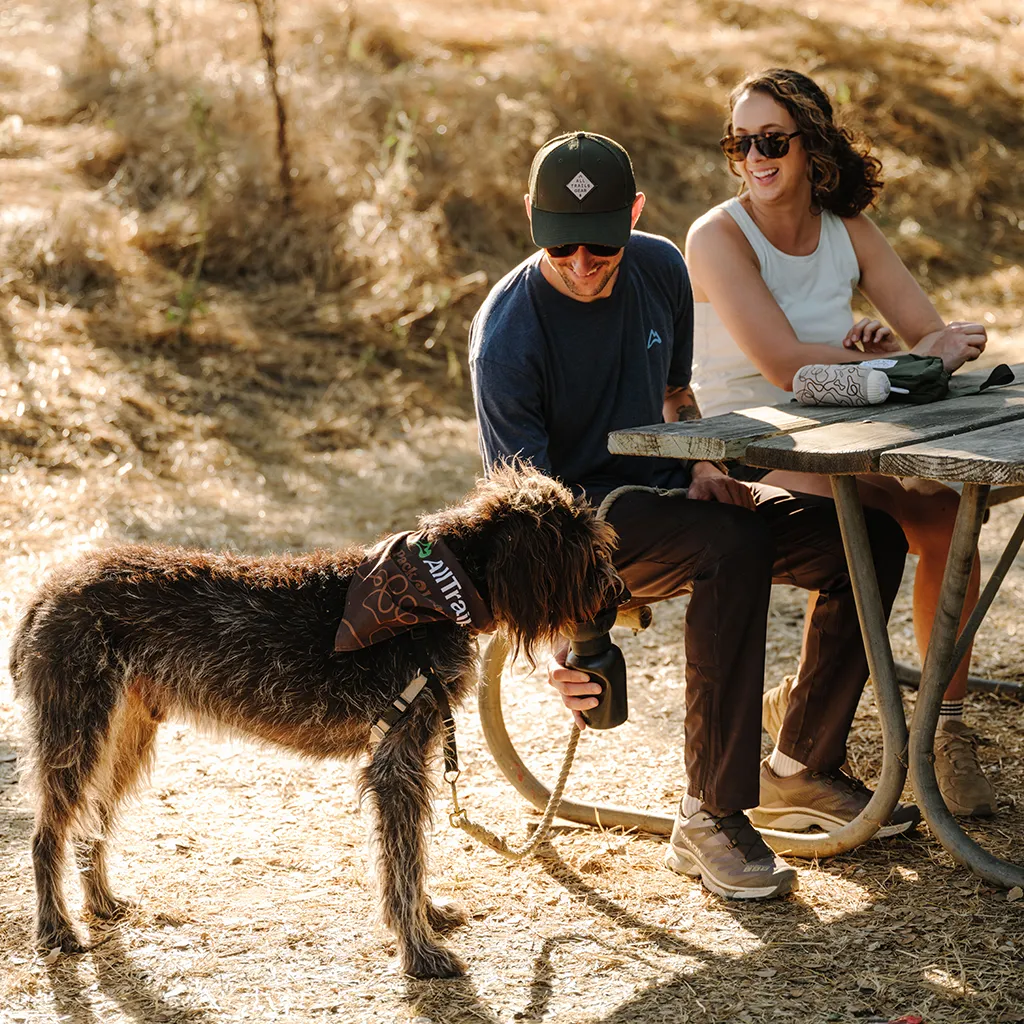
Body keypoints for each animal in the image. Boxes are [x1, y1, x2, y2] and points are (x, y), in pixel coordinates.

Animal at [9, 464, 614, 974]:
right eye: (583, 551)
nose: (615, 590)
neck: (439, 589)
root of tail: (51, 589)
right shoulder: (396, 761)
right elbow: (403, 859)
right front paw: (419, 951)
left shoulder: (407, 758)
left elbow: (409, 854)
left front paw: (427, 918)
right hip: (77, 736)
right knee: (47, 835)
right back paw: (56, 928)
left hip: (124, 739)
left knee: (91, 825)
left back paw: (100, 902)